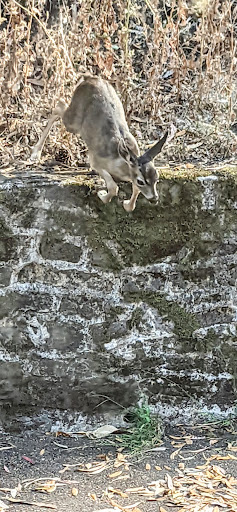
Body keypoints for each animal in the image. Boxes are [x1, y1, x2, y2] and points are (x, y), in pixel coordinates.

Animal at [30, 73, 170, 210]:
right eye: (141, 181)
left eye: (157, 178)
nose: (154, 199)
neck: (119, 162)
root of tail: (89, 78)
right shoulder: (96, 161)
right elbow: (113, 187)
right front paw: (102, 195)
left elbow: (134, 194)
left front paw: (126, 204)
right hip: (73, 122)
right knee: (59, 106)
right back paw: (35, 153)